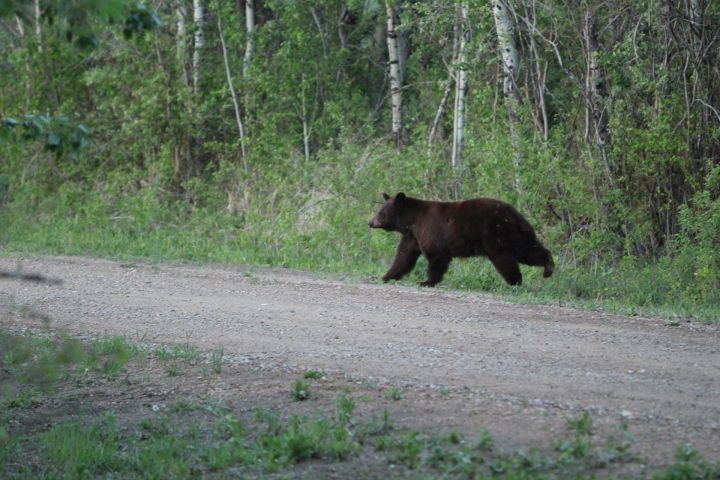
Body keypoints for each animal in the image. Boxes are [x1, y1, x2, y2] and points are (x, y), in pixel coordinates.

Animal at [368, 193, 556, 286]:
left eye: (380, 213)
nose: (369, 222)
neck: (411, 221)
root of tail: (515, 215)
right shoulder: (411, 236)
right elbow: (403, 256)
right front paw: (385, 276)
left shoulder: (429, 231)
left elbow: (437, 257)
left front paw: (427, 281)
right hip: (517, 235)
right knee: (529, 251)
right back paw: (548, 268)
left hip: (496, 235)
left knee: (505, 258)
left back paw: (515, 281)